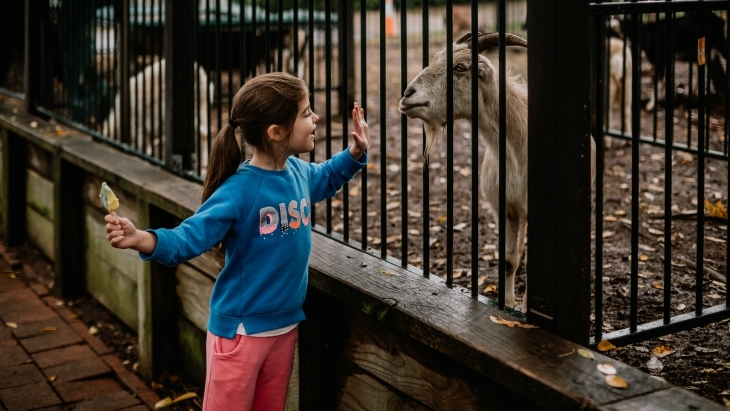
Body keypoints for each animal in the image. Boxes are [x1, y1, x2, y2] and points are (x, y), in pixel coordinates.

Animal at [398, 32, 596, 312]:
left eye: (460, 67)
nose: (407, 95)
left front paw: (523, 310)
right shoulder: (503, 209)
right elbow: (508, 260)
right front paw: (509, 304)